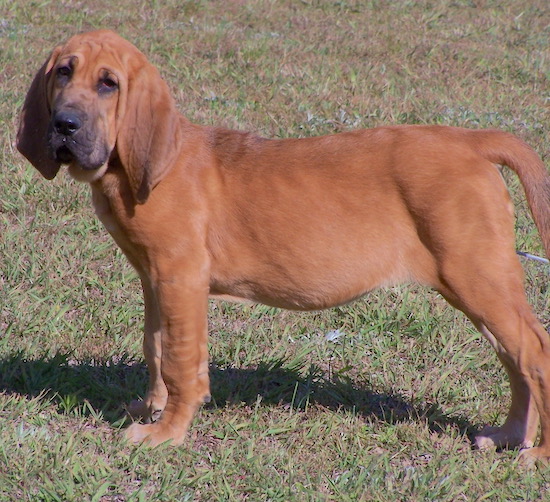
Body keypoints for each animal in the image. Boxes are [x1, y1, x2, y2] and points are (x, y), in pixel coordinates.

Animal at [17, 29, 550, 462]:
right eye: (64, 72)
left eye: (109, 83)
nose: (64, 124)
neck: (137, 169)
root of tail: (471, 140)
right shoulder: (154, 278)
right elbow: (155, 346)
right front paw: (150, 408)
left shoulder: (181, 276)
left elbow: (181, 361)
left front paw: (166, 432)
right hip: (477, 284)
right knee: (513, 357)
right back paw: (508, 435)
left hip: (477, 276)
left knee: (534, 354)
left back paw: (537, 454)